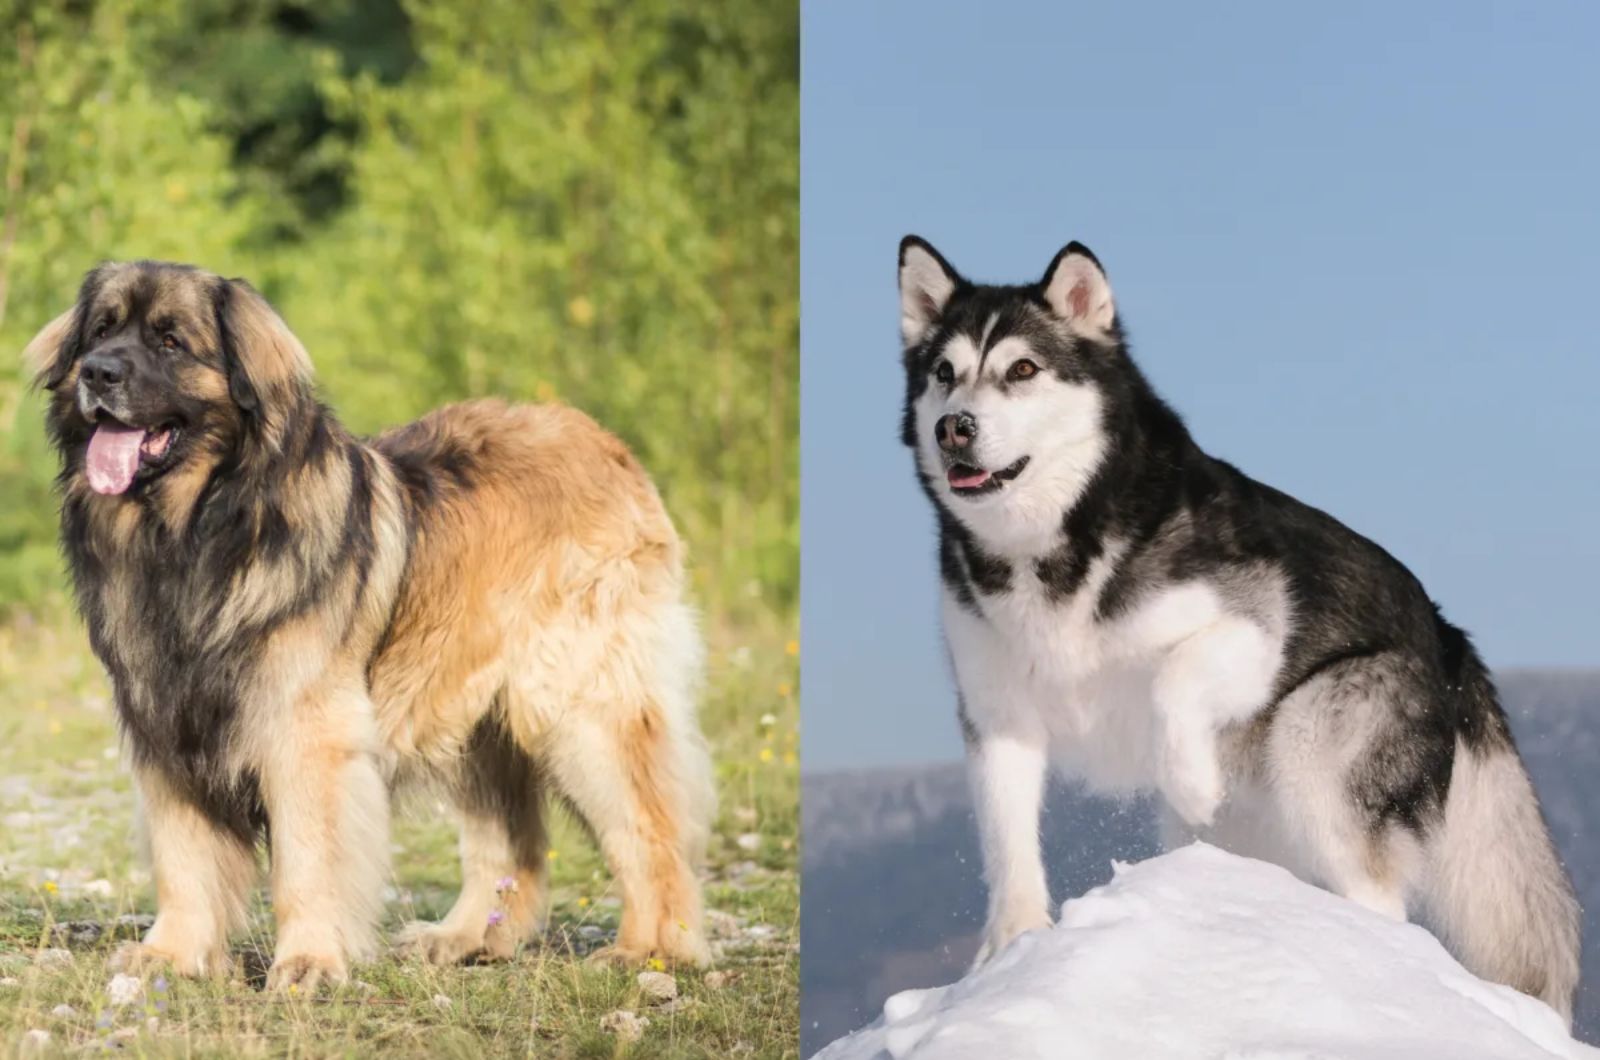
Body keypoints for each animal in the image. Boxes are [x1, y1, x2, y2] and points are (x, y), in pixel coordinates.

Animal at [23, 260, 713, 992]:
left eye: (170, 341)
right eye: (101, 330)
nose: (97, 372)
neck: (195, 531)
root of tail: (608, 445)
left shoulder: (305, 732)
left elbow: (306, 859)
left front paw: (308, 962)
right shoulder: (165, 725)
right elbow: (184, 856)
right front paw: (171, 955)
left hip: (578, 708)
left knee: (649, 827)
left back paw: (652, 951)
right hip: (472, 716)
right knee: (508, 841)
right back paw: (464, 938)